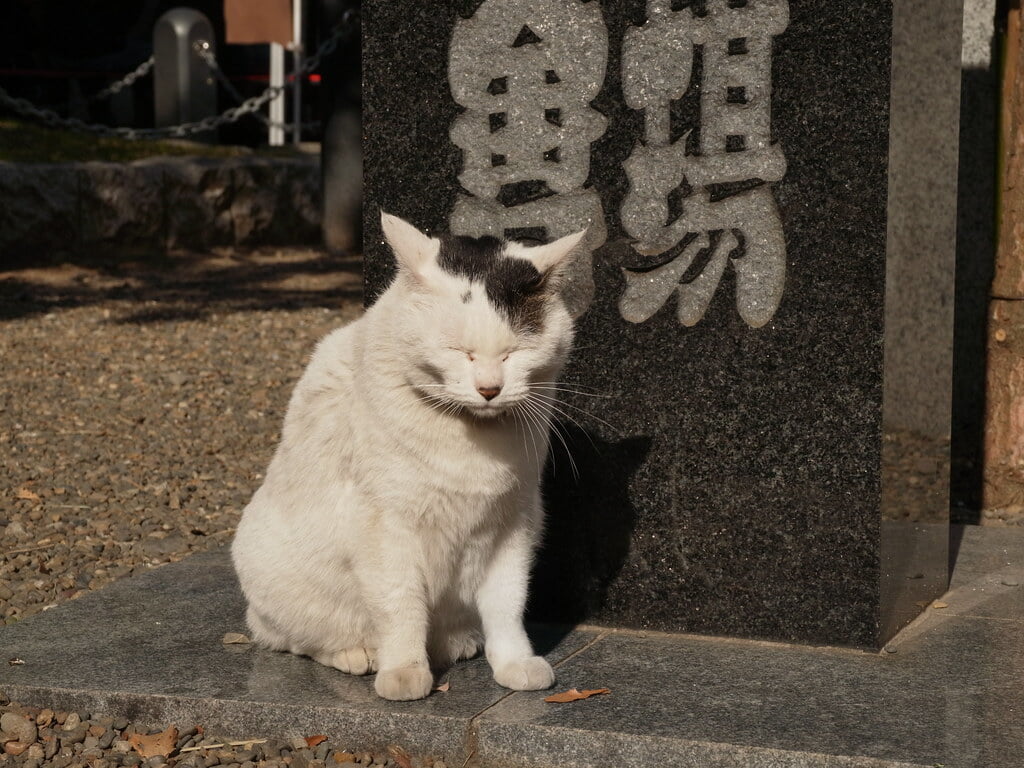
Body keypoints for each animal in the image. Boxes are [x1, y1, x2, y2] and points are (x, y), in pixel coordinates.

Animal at [232, 211, 585, 704]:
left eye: (514, 353)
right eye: (460, 351)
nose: (490, 389)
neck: (471, 439)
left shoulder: (512, 524)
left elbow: (507, 605)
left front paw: (514, 663)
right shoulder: (386, 528)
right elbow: (400, 605)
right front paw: (403, 671)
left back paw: (455, 644)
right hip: (269, 570)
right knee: (293, 638)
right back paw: (358, 654)